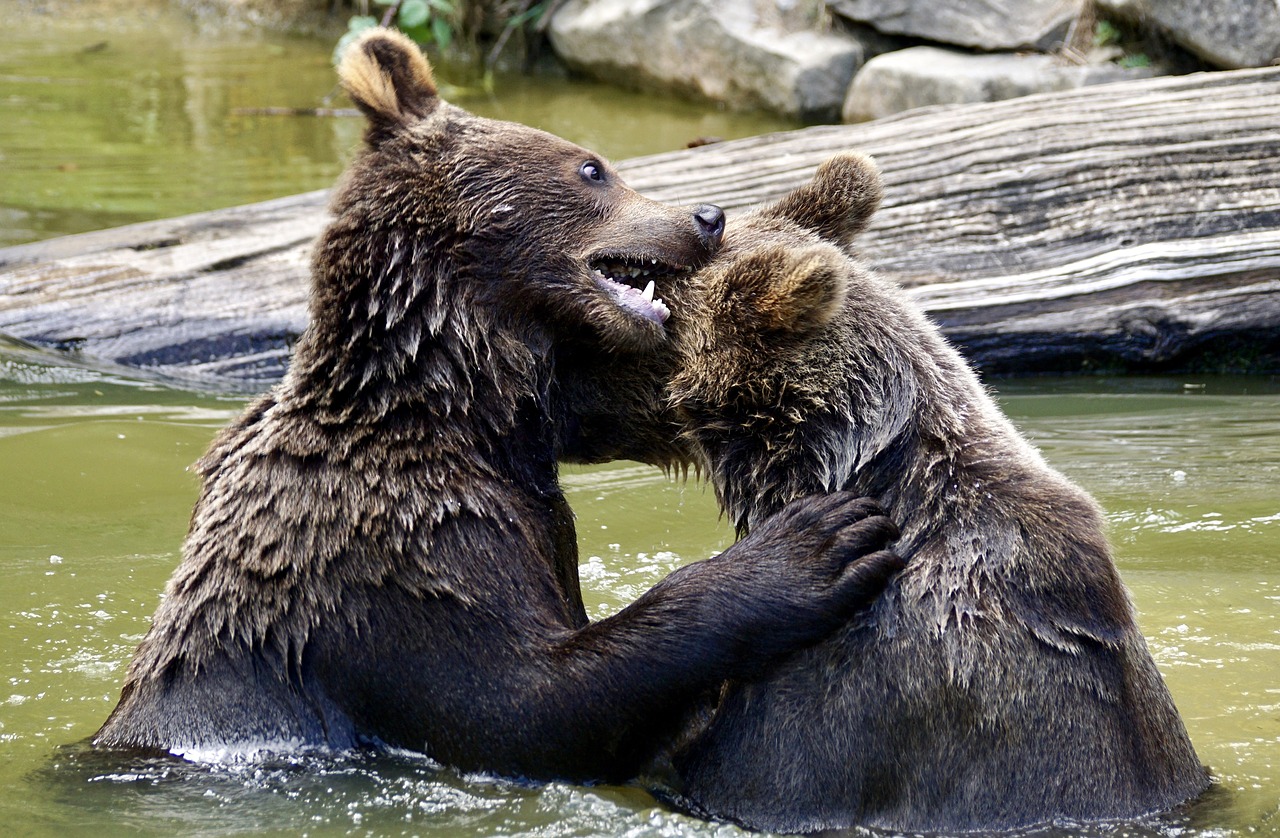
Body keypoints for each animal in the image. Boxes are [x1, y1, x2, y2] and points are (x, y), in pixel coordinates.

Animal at [87, 29, 901, 782]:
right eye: (592, 167)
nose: (707, 216)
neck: (453, 402)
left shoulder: (546, 421)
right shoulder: (401, 552)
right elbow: (524, 703)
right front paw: (814, 547)